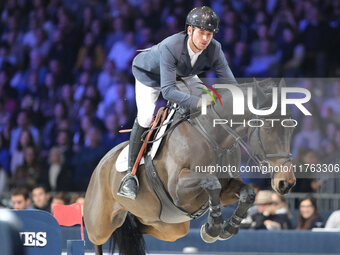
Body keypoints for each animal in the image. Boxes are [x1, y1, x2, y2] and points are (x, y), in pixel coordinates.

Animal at [83, 78, 296, 254]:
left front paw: (226, 228)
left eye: (292, 128)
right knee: (97, 239)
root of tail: (100, 164)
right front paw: (213, 228)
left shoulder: (226, 188)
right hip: (99, 224)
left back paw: (135, 229)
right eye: (267, 128)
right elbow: (211, 182)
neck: (215, 137)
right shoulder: (178, 189)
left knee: (139, 229)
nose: (286, 183)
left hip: (170, 226)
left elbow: (248, 193)